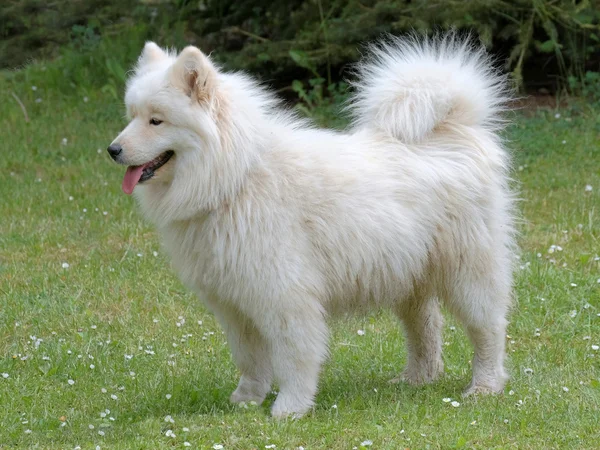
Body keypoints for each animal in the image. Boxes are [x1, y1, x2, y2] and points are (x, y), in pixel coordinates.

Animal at [108, 35, 516, 418]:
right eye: (131, 115)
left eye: (156, 120)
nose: (113, 150)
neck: (234, 175)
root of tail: (452, 129)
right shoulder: (234, 303)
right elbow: (249, 358)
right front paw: (246, 400)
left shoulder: (285, 297)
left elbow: (294, 357)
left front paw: (290, 408)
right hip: (407, 275)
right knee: (426, 327)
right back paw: (417, 378)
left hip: (467, 273)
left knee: (488, 329)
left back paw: (485, 386)